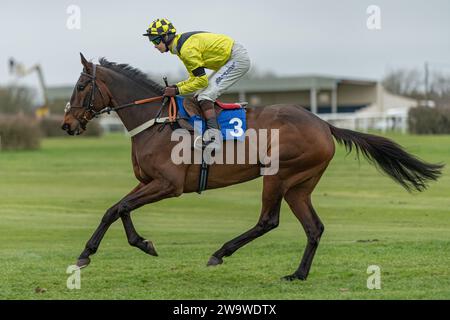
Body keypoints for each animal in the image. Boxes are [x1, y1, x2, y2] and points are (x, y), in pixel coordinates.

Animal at [60, 54, 442, 280]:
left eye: (80, 86)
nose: (66, 125)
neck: (156, 120)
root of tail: (324, 123)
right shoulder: (149, 181)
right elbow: (117, 208)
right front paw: (141, 243)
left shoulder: (169, 185)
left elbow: (119, 207)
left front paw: (86, 253)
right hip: (300, 184)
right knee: (314, 227)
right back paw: (298, 274)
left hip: (279, 175)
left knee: (268, 221)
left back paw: (220, 253)